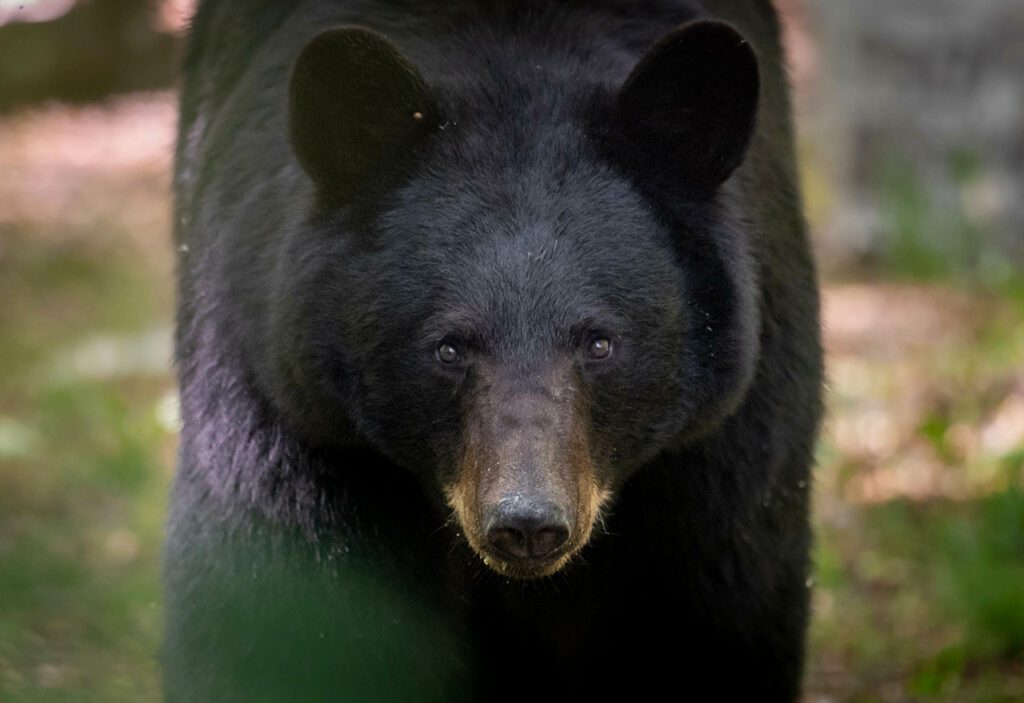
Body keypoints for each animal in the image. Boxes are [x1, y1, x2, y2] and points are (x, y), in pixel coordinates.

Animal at [167, 0, 823, 699]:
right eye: (449, 348)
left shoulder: (721, 448)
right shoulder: (290, 404)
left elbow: (714, 609)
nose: (528, 524)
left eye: (600, 343)